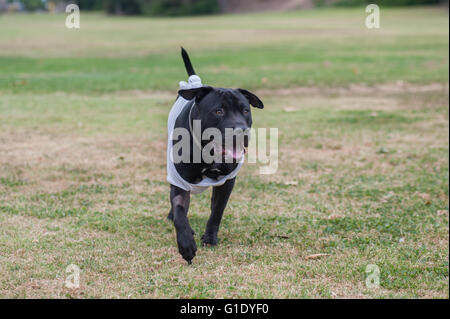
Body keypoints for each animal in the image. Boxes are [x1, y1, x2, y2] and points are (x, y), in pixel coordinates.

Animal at [166, 48, 264, 264]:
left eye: (245, 110)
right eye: (219, 111)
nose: (241, 131)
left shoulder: (227, 182)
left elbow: (217, 211)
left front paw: (210, 238)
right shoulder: (179, 180)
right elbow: (179, 211)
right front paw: (186, 244)